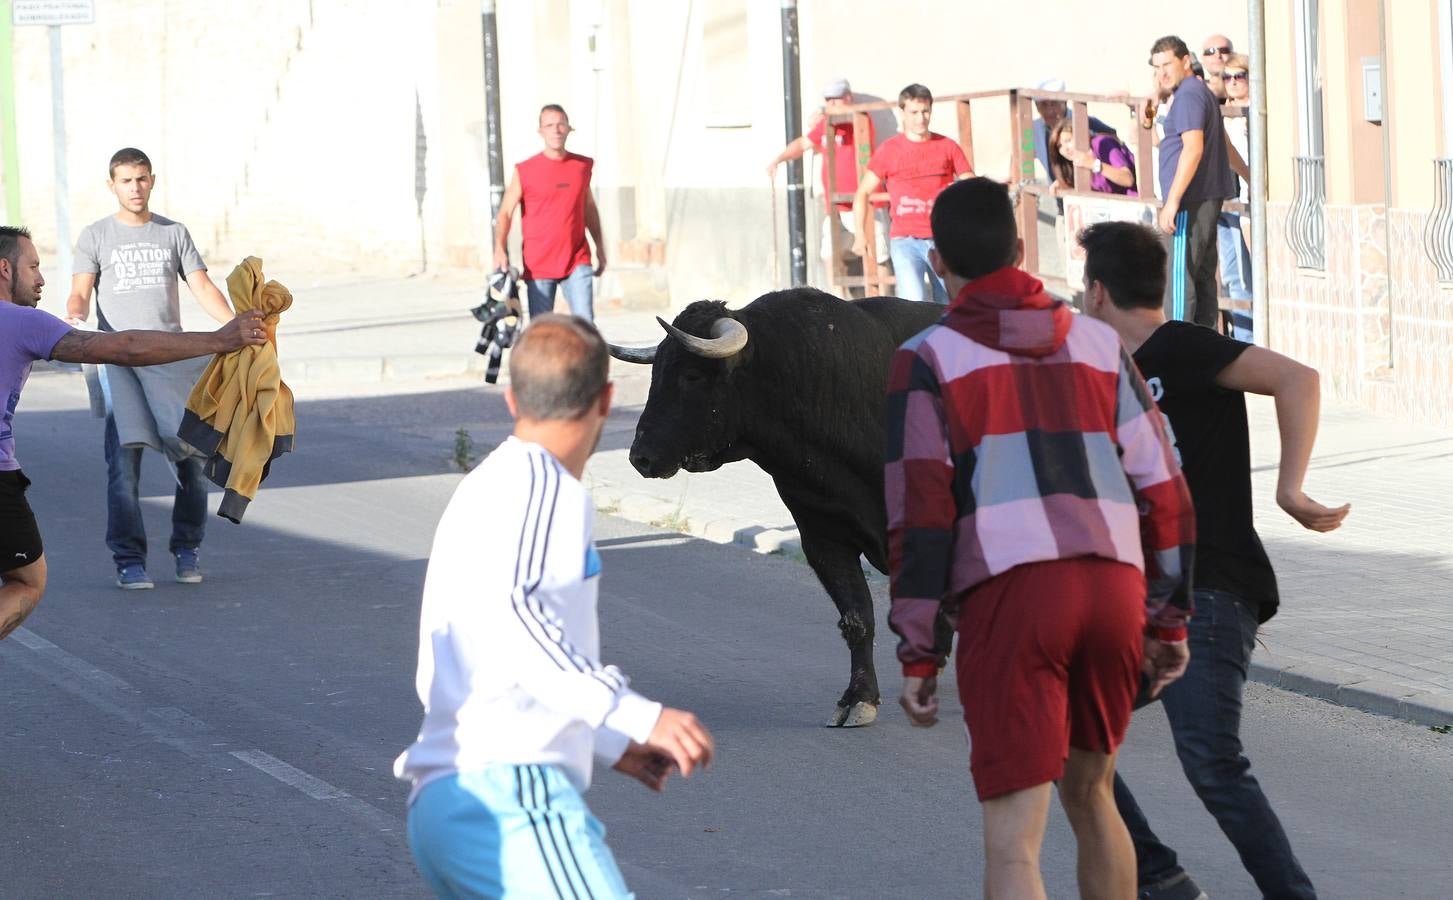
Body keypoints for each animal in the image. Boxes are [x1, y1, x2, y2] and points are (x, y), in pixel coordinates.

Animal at [610, 289, 941, 724]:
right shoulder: (822, 537)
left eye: (691, 376)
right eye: (655, 373)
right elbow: (857, 616)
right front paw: (858, 698)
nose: (641, 457)